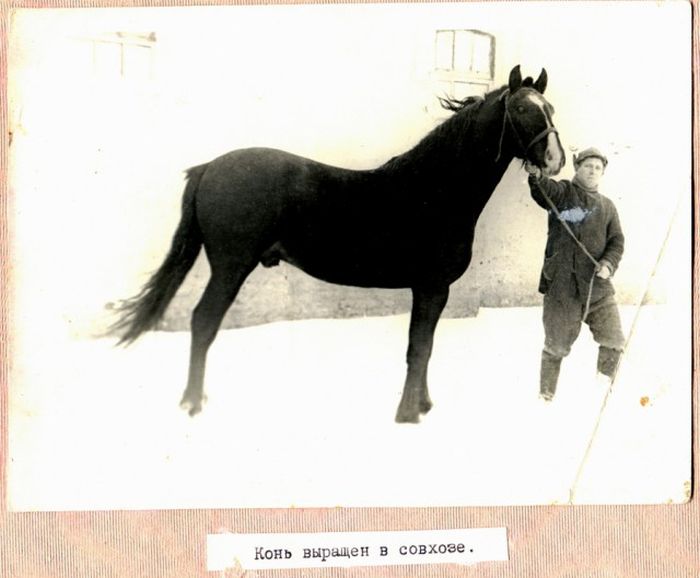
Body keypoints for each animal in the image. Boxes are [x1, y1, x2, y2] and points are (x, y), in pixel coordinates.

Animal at [114, 65, 565, 423]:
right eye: (522, 109)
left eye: (551, 109)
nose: (556, 160)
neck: (434, 190)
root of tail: (209, 167)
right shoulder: (430, 287)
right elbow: (418, 349)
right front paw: (408, 414)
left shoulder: (435, 291)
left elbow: (427, 348)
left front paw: (422, 405)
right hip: (230, 267)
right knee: (203, 321)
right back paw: (192, 404)